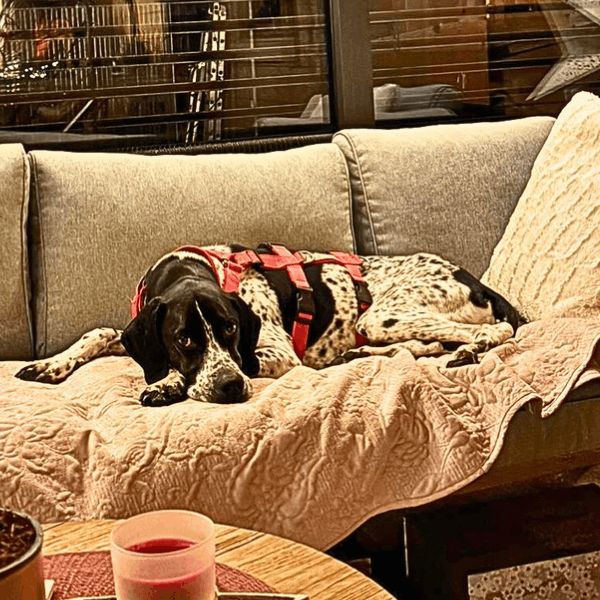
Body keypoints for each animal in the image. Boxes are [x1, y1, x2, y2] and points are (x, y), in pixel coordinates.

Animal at [15, 243, 523, 406]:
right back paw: (358, 354)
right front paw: (50, 366)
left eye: (231, 330)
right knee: (421, 346)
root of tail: (476, 281)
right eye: (184, 338)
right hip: (384, 323)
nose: (229, 389)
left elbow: (239, 363)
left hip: (383, 314)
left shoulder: (274, 354)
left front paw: (168, 385)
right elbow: (99, 333)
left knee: (492, 332)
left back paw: (470, 350)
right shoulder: (135, 334)